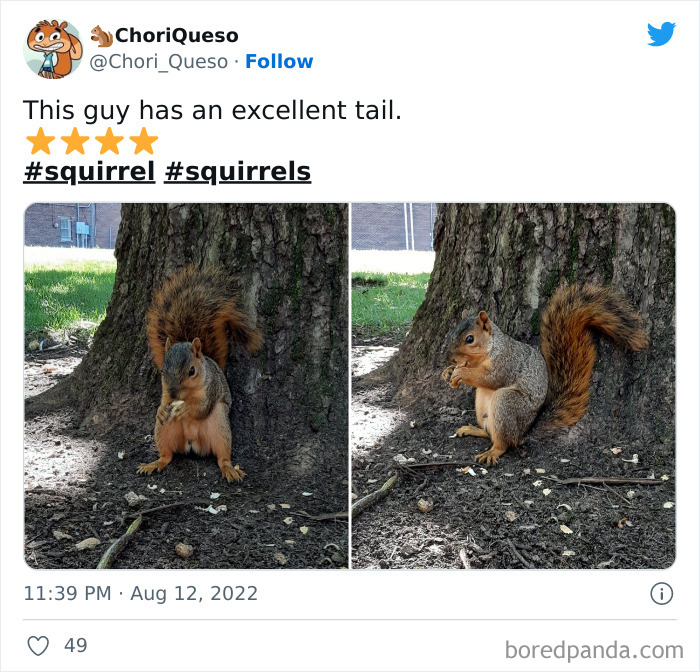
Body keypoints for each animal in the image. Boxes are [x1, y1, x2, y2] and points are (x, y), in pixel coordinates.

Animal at [137, 266, 262, 482]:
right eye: (163, 370)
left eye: (192, 371)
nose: (174, 394)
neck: (186, 394)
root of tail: (192, 443)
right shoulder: (166, 392)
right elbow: (163, 402)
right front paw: (161, 409)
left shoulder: (210, 390)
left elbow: (201, 408)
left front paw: (185, 409)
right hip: (164, 429)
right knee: (166, 455)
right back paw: (154, 464)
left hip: (219, 424)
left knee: (222, 456)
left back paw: (229, 469)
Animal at [442, 284, 649, 466]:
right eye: (451, 332)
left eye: (470, 339)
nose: (449, 357)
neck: (491, 348)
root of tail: (523, 433)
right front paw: (448, 371)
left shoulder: (507, 362)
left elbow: (491, 378)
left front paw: (460, 372)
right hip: (481, 404)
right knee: (489, 432)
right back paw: (472, 429)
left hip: (506, 402)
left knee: (504, 442)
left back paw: (493, 451)